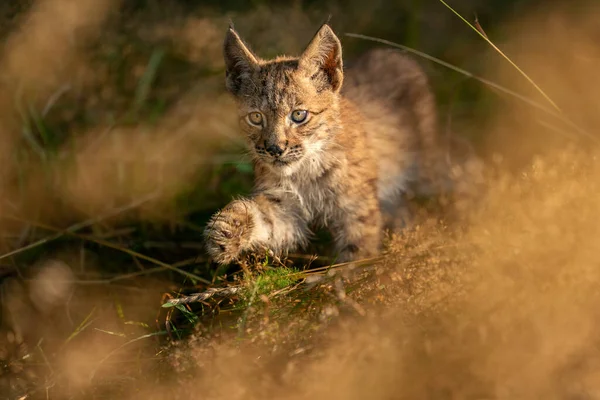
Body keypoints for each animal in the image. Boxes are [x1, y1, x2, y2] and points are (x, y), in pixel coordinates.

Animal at [204, 23, 442, 264]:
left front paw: (346, 273)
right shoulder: (287, 209)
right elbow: (266, 219)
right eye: (256, 118)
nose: (275, 149)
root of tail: (393, 53)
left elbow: (358, 251)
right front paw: (227, 227)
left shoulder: (356, 207)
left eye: (299, 115)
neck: (306, 169)